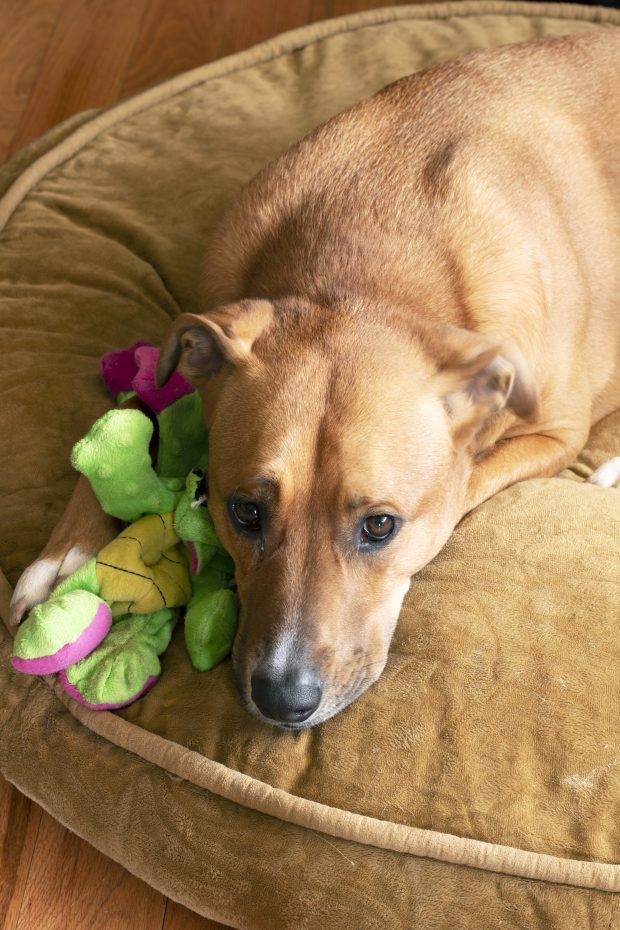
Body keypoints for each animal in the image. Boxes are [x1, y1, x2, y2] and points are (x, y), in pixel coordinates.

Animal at [9, 29, 620, 728]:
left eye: (380, 526)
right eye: (244, 511)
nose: (283, 700)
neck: (360, 266)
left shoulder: (556, 435)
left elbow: (464, 481)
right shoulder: (197, 337)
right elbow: (140, 408)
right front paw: (67, 557)